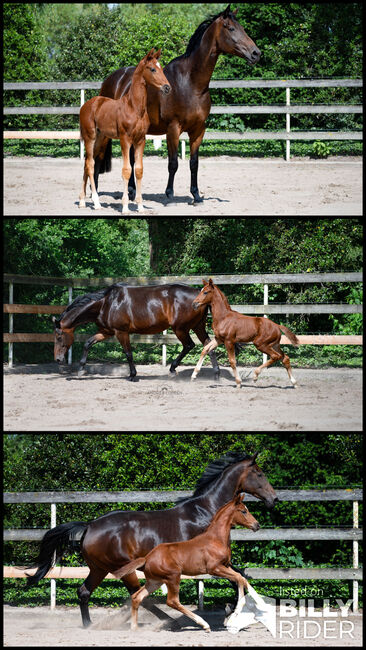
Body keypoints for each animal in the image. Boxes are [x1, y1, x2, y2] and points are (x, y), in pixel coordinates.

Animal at [52, 280, 219, 380]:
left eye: (59, 337)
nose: (58, 359)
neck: (106, 303)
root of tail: (200, 296)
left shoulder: (121, 332)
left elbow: (128, 353)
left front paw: (132, 375)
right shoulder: (107, 332)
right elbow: (88, 343)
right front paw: (81, 370)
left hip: (180, 329)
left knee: (189, 345)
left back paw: (173, 369)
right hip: (198, 326)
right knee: (208, 346)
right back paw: (215, 375)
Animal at [78, 50, 170, 213]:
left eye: (162, 68)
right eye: (153, 69)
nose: (167, 87)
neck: (134, 107)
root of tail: (86, 105)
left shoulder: (140, 140)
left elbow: (138, 170)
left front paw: (140, 206)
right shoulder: (125, 139)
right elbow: (127, 170)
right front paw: (125, 206)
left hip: (101, 138)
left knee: (88, 163)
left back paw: (82, 201)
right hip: (90, 137)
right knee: (90, 164)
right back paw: (96, 202)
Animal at [94, 3, 260, 202]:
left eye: (242, 27)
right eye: (231, 28)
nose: (256, 53)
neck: (191, 84)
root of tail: (112, 79)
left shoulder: (198, 130)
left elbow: (194, 163)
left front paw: (196, 195)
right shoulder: (173, 129)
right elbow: (173, 163)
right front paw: (169, 194)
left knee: (132, 159)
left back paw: (132, 191)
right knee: (98, 157)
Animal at [114, 494, 260, 632]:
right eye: (243, 511)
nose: (257, 525)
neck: (216, 539)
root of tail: (147, 558)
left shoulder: (225, 565)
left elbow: (241, 578)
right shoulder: (214, 569)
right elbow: (239, 578)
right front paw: (237, 610)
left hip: (155, 581)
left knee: (137, 597)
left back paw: (134, 628)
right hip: (173, 577)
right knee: (172, 601)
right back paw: (204, 624)